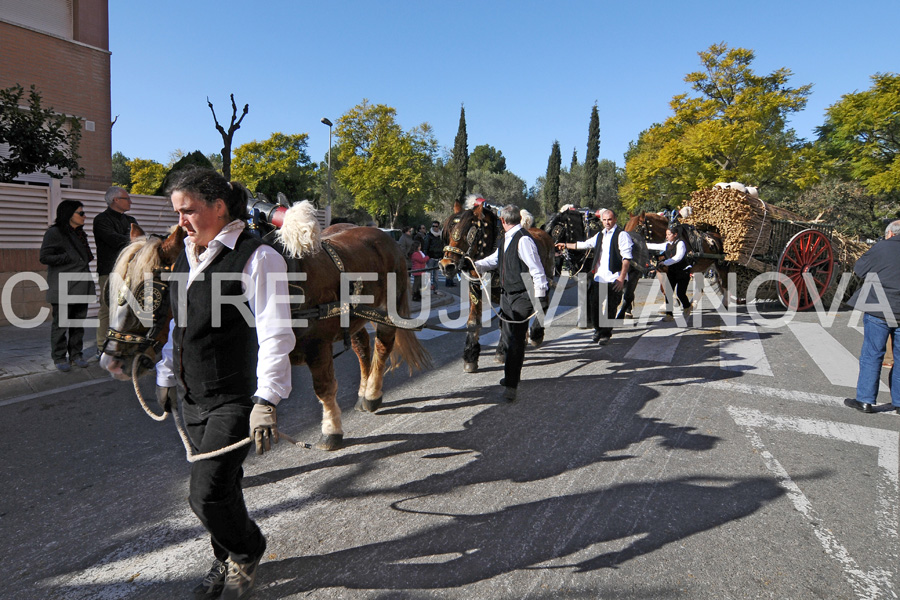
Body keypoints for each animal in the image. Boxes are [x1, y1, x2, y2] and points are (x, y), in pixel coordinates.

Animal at [100, 202, 430, 450]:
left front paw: (331, 430)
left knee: (383, 346)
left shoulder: (318, 346)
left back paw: (372, 394)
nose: (111, 359)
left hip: (388, 311)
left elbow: (324, 389)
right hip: (357, 317)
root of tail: (383, 236)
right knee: (362, 348)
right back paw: (364, 390)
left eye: (149, 292)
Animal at [438, 199, 556, 372]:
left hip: (544, 277)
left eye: (469, 232)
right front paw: (470, 357)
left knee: (543, 303)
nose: (446, 266)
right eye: (450, 229)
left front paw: (502, 351)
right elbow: (474, 322)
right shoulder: (475, 288)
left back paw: (536, 334)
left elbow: (505, 320)